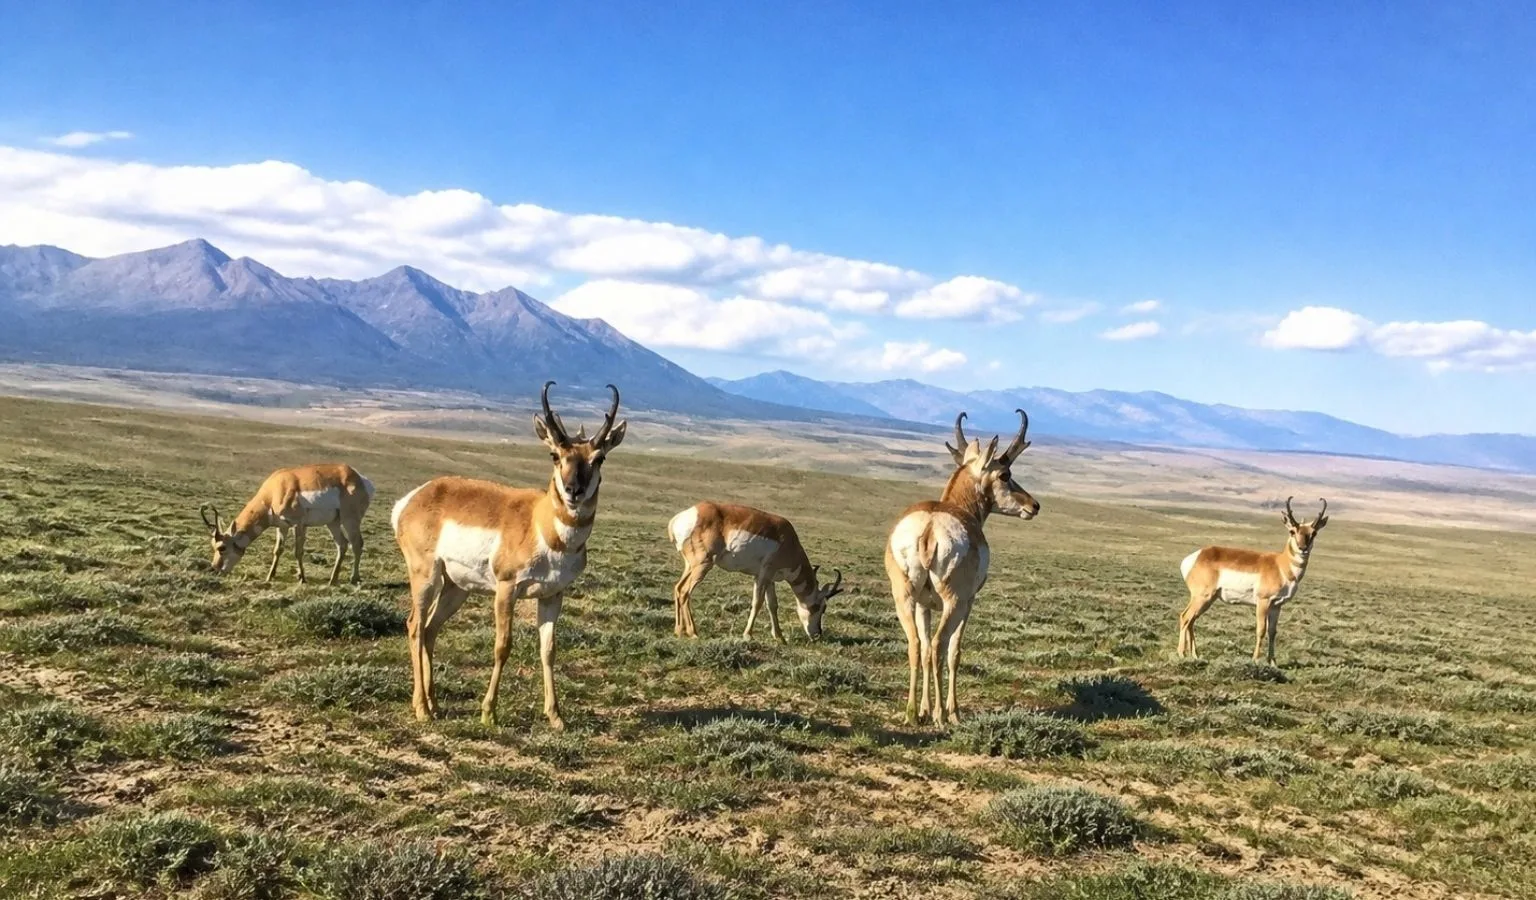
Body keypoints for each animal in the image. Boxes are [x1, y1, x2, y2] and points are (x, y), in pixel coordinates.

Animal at [200, 464, 375, 585]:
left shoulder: (298, 524)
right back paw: (332, 580)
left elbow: (298, 552)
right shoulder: (282, 526)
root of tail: (360, 478)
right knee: (342, 544)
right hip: (333, 523)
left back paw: (354, 578)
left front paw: (302, 578)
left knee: (357, 544)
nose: (214, 569)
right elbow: (278, 550)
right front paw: (270, 576)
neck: (274, 490)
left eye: (222, 548)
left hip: (349, 520)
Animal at [391, 382, 626, 731]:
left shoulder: (553, 595)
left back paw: (433, 704)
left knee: (431, 629)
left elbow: (549, 650)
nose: (573, 491)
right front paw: (488, 712)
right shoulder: (506, 589)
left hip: (456, 588)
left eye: (599, 458)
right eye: (555, 455)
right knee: (415, 627)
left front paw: (556, 716)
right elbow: (503, 646)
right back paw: (421, 708)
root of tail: (415, 497)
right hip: (426, 577)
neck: (541, 524)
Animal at [667, 502, 844, 642]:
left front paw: (779, 637)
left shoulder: (769, 579)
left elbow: (772, 605)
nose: (817, 634)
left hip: (690, 566)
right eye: (821, 607)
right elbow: (757, 603)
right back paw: (693, 632)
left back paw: (679, 631)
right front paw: (748, 635)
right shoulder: (763, 575)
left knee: (677, 588)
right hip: (702, 566)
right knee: (685, 591)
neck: (788, 540)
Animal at [886, 410, 1039, 728]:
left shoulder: (925, 605)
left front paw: (923, 709)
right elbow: (955, 651)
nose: (1034, 505)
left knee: (916, 645)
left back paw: (911, 714)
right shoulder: (969, 602)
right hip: (953, 602)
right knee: (939, 646)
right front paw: (952, 712)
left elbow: (923, 646)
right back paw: (942, 716)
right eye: (1005, 474)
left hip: (904, 598)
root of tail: (930, 527)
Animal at [1177, 497, 1330, 665]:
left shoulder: (1277, 606)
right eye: (1292, 531)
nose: (1303, 548)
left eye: (1313, 533)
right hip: (1202, 597)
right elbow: (1261, 630)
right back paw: (1181, 654)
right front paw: (1256, 659)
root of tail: (1196, 556)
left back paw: (1195, 655)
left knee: (1191, 620)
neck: (1280, 564)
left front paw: (1273, 662)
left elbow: (1272, 632)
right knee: (1185, 617)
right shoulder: (1263, 602)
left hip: (1208, 600)